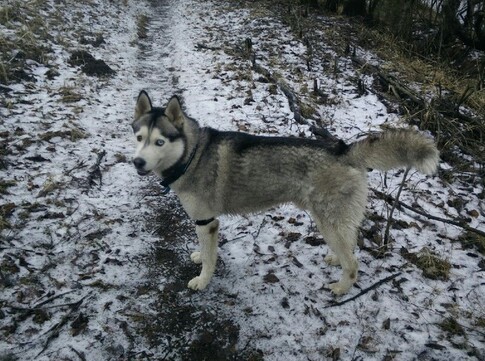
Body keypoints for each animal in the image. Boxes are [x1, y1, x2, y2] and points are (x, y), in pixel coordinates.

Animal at [130, 90, 438, 296]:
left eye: (159, 142)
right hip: (331, 220)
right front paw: (198, 256)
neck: (193, 154)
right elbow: (205, 251)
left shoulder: (207, 222)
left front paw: (203, 280)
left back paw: (341, 286)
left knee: (354, 262)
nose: (137, 162)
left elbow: (209, 258)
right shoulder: (204, 222)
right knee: (349, 244)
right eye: (139, 138)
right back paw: (336, 259)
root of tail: (343, 150)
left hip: (329, 221)